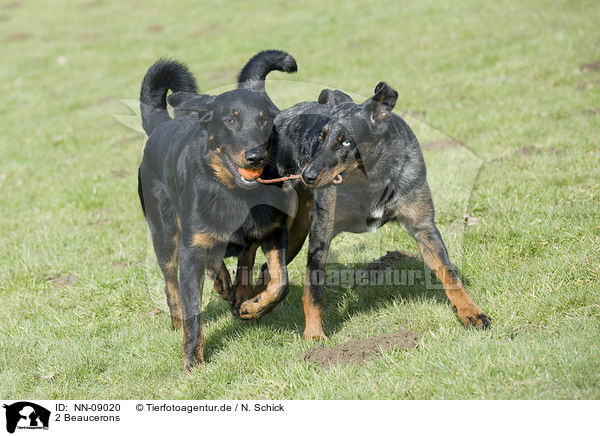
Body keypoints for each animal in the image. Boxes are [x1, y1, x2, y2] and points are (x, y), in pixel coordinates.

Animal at [141, 52, 300, 372]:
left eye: (264, 120)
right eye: (231, 120)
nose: (255, 156)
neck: (234, 193)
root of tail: (160, 126)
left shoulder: (274, 231)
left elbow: (280, 282)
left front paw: (253, 306)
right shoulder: (190, 252)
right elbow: (192, 309)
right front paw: (193, 361)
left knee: (244, 256)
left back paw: (237, 290)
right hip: (164, 235)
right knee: (172, 285)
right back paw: (183, 316)